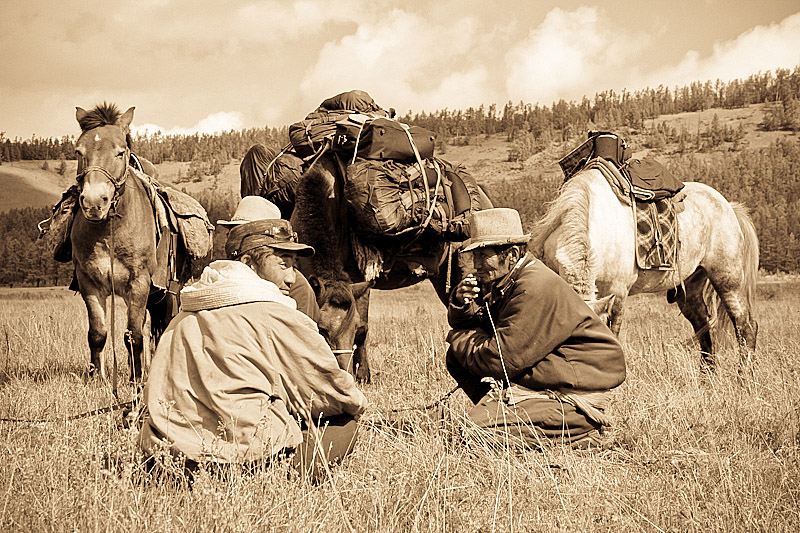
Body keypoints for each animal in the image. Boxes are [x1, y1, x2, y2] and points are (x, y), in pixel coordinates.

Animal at [70, 103, 191, 386]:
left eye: (120, 152)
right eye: (79, 152)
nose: (94, 202)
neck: (109, 230)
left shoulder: (139, 283)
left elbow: (134, 334)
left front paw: (137, 380)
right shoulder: (89, 282)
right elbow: (98, 332)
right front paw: (96, 379)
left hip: (167, 291)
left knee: (159, 327)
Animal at [290, 152, 493, 383]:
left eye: (353, 328)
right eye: (322, 329)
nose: (344, 374)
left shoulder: (360, 279)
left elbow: (365, 328)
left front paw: (364, 375)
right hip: (443, 278)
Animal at [529, 167, 759, 369]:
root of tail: (729, 206)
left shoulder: (618, 293)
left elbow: (615, 334)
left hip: (728, 278)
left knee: (745, 325)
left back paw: (743, 378)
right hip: (691, 287)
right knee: (703, 328)